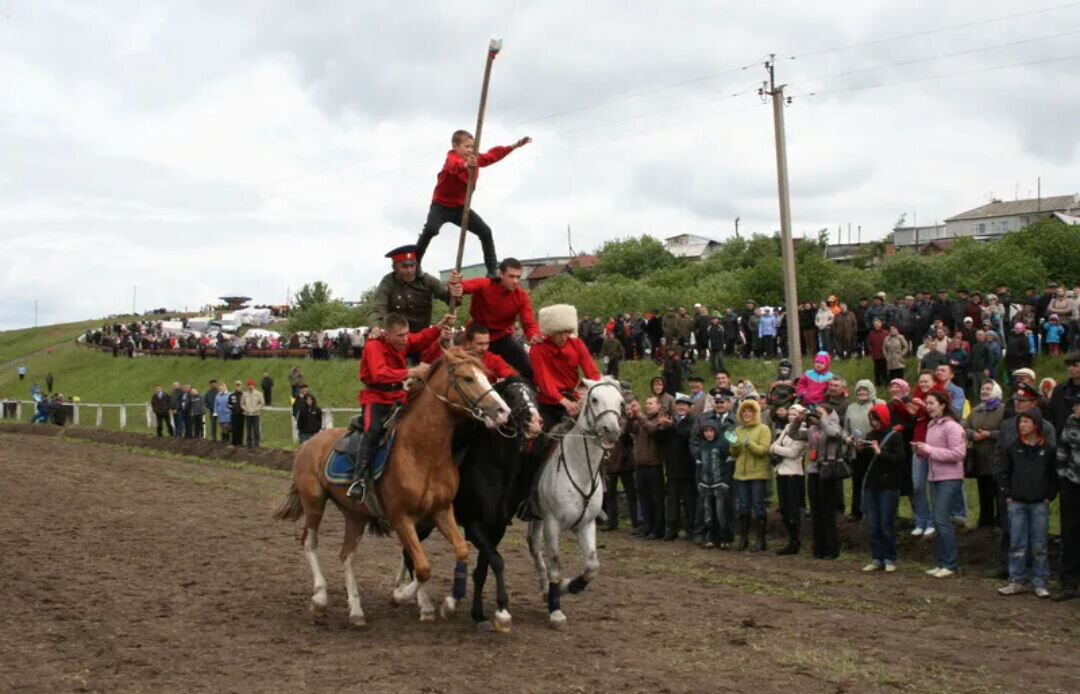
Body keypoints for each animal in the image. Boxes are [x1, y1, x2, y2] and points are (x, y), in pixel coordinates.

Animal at [270, 349, 505, 626]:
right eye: (467, 378)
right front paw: (401, 595)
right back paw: (319, 598)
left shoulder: (441, 510)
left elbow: (460, 550)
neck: (423, 451)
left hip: (355, 515)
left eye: (487, 376)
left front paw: (447, 604)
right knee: (310, 542)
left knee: (346, 555)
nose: (502, 410)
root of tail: (310, 442)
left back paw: (356, 610)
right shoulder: (401, 518)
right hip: (314, 502)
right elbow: (423, 567)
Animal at [399, 377, 540, 634]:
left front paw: (479, 614)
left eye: (534, 394)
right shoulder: (475, 526)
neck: (495, 470)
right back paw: (420, 603)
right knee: (409, 555)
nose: (534, 421)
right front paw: (502, 612)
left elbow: (482, 570)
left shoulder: (496, 528)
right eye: (511, 395)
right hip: (422, 523)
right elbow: (497, 561)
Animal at [524, 377, 622, 634]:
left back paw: (545, 588)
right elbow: (556, 564)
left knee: (533, 546)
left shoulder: (586, 524)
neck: (581, 471)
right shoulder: (552, 523)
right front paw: (556, 610)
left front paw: (569, 587)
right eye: (595, 399)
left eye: (620, 401)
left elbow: (592, 566)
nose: (612, 430)